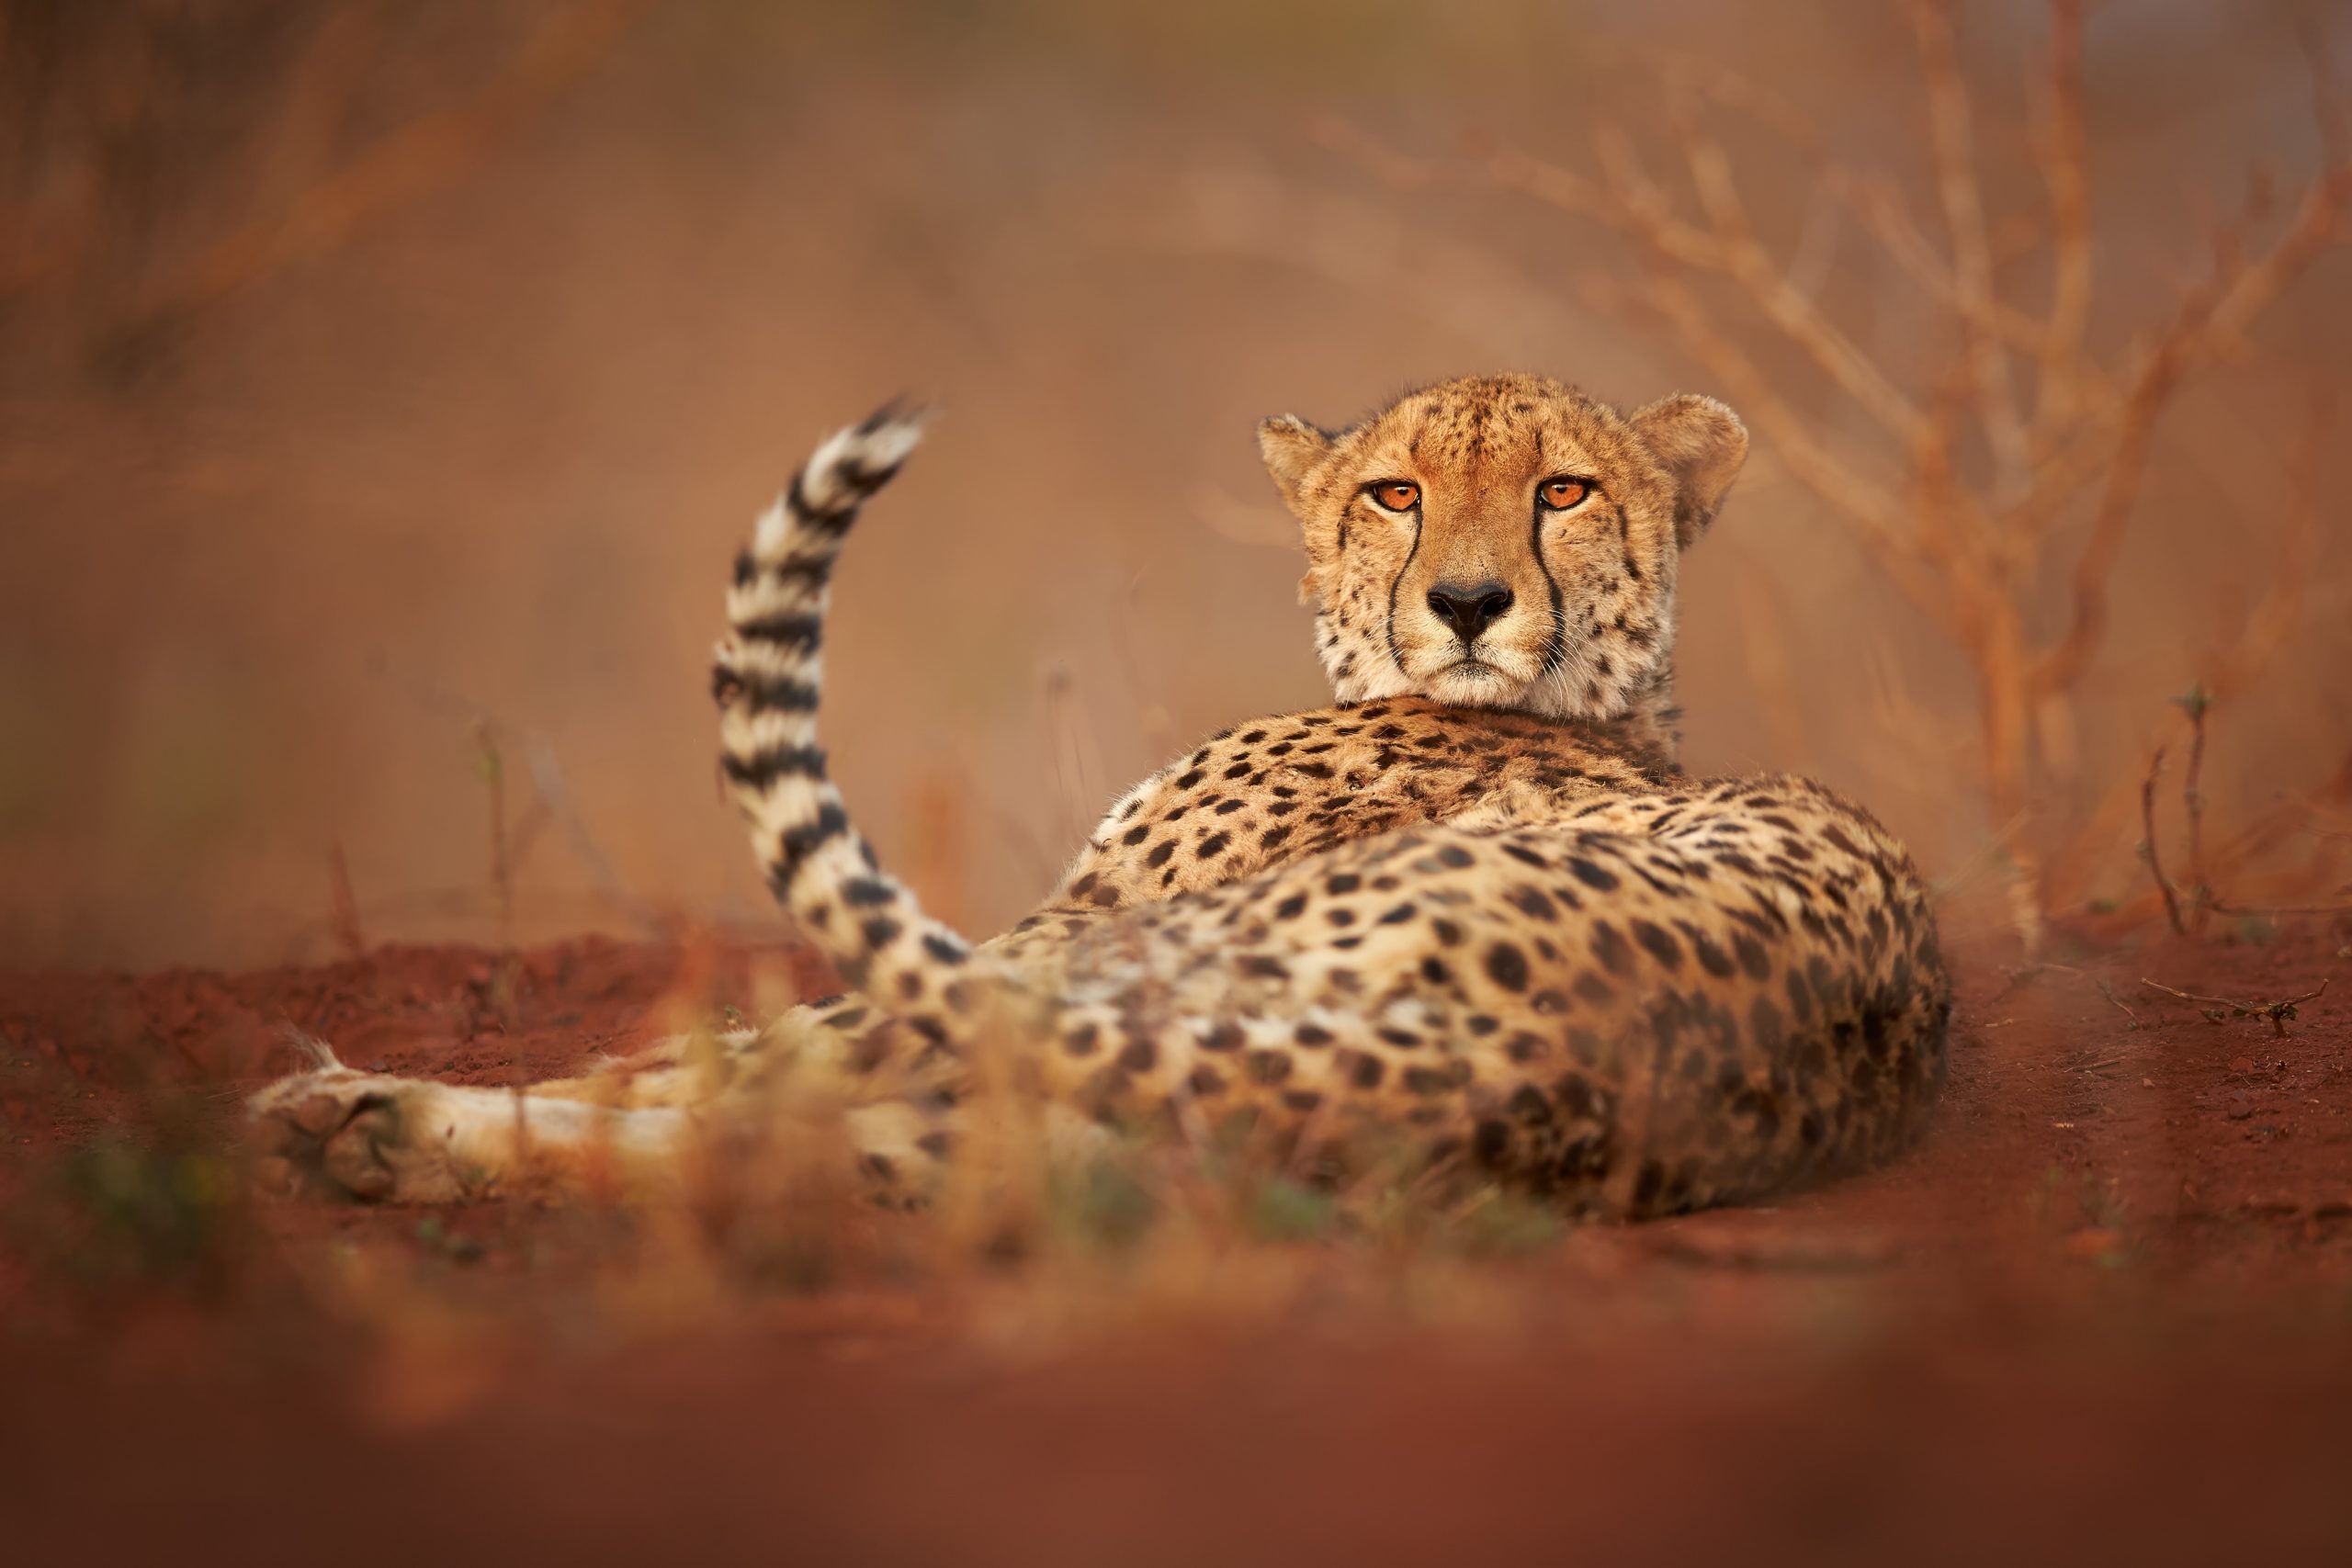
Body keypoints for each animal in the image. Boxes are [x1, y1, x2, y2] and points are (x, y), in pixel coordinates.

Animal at [248, 373, 1956, 1222]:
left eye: (1566, 490)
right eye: (1394, 491)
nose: (1468, 604)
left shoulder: (1060, 930)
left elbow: (698, 1048)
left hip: (1121, 969)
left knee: (787, 1090)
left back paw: (366, 1113)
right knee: (866, 1152)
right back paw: (376, 1138)